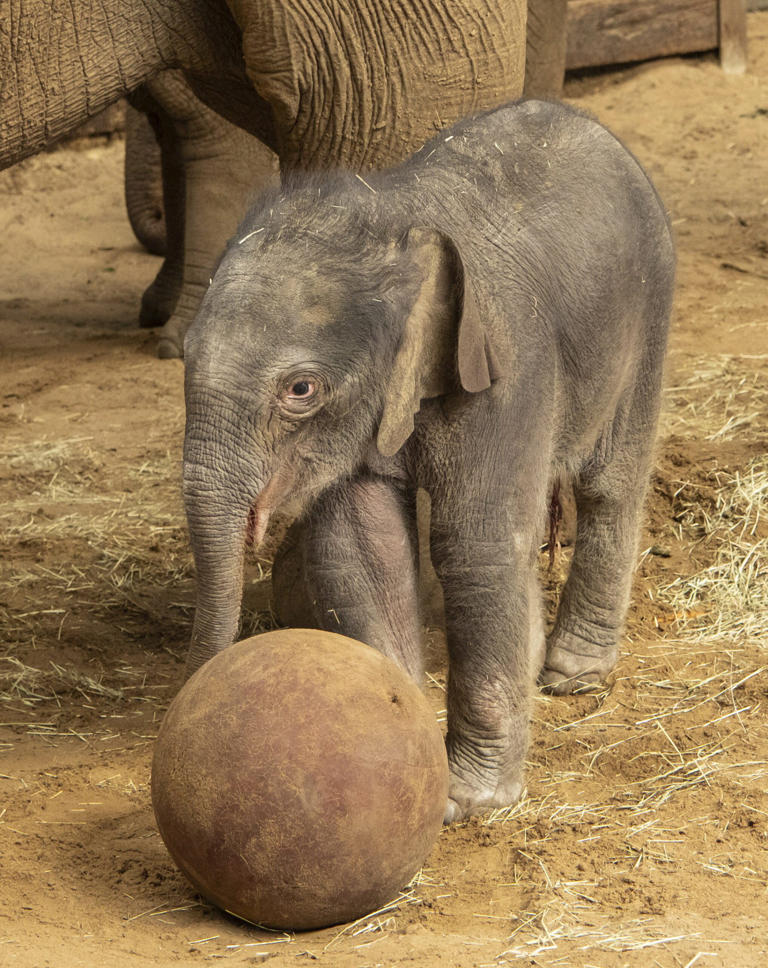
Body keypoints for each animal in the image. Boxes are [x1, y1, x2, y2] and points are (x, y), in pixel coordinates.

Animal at [181, 99, 676, 821]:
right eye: (182, 354)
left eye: (300, 390)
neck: (391, 219)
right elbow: (361, 545)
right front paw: (396, 726)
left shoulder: (507, 366)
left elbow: (473, 545)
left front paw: (470, 801)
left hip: (648, 311)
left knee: (610, 486)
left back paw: (571, 677)